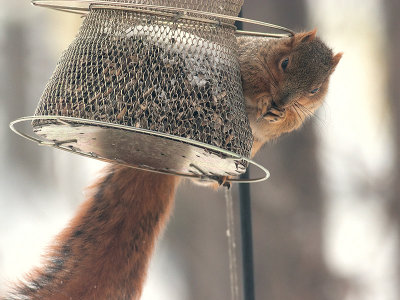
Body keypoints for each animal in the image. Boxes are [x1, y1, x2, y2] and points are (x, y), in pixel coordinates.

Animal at [3, 29, 340, 298]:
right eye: (285, 63)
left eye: (315, 90)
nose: (282, 101)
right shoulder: (245, 61)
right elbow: (250, 81)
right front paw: (262, 97)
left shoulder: (299, 116)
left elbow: (285, 123)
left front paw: (279, 114)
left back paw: (219, 176)